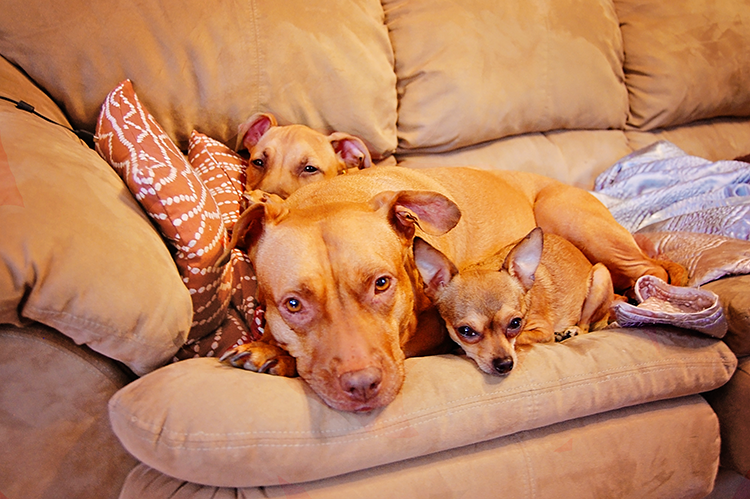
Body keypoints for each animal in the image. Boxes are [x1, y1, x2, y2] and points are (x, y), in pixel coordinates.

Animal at [413, 227, 614, 376]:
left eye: (515, 323)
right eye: (466, 331)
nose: (505, 364)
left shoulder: (543, 331)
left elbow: (523, 338)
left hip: (600, 275)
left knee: (586, 325)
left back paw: (572, 330)